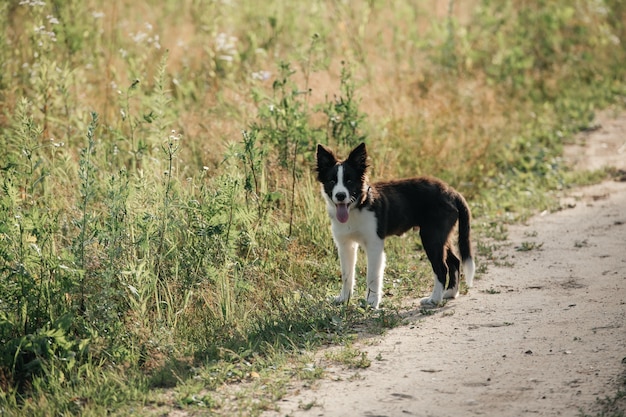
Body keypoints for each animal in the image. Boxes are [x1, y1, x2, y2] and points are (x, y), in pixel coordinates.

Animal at [314, 141, 476, 308]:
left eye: (349, 181)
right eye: (332, 181)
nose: (340, 196)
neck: (359, 205)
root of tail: (452, 192)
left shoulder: (374, 245)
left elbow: (372, 276)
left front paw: (371, 303)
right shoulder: (346, 245)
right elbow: (347, 274)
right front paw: (343, 299)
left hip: (431, 236)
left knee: (442, 268)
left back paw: (434, 299)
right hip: (441, 236)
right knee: (454, 261)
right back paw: (450, 293)